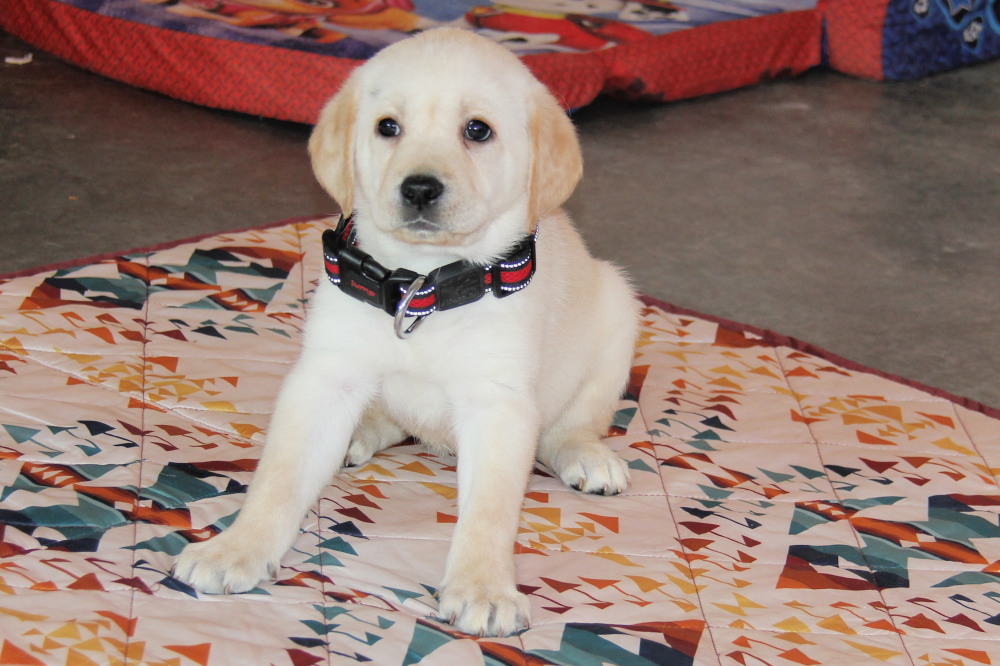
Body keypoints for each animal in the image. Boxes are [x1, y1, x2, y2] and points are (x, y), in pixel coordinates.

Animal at [174, 28, 640, 636]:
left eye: (477, 130)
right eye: (388, 127)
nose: (419, 188)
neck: (420, 290)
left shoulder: (497, 402)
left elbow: (489, 509)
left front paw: (483, 586)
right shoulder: (326, 377)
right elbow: (278, 476)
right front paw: (237, 548)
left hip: (618, 309)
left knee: (573, 424)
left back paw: (586, 455)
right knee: (391, 422)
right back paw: (360, 433)